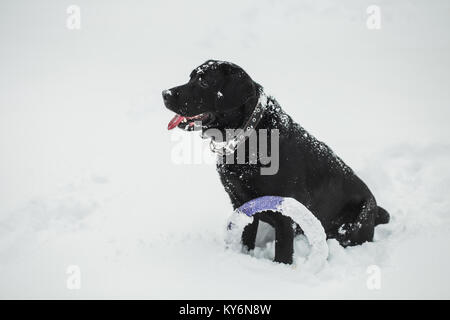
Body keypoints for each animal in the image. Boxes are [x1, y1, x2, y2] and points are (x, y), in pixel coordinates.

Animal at [163, 59, 388, 262]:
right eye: (190, 77)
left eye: (204, 82)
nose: (165, 94)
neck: (248, 138)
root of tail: (377, 210)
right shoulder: (241, 202)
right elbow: (246, 237)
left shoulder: (285, 214)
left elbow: (283, 250)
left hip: (357, 220)